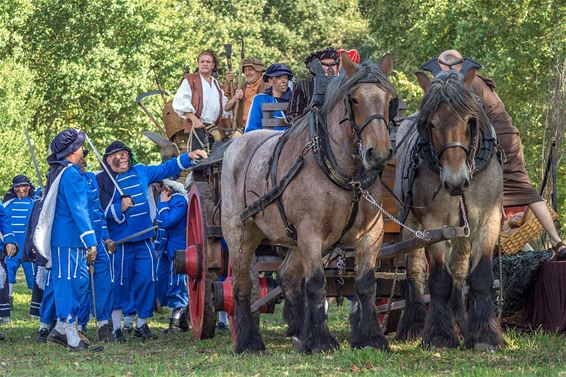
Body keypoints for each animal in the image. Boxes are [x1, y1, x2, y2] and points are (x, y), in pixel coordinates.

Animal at [223, 53, 400, 352]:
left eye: (389, 100)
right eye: (354, 99)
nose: (377, 154)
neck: (345, 175)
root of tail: (236, 143)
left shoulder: (371, 233)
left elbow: (366, 283)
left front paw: (372, 337)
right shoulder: (311, 232)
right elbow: (316, 282)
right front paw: (321, 341)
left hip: (291, 240)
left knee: (287, 277)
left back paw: (299, 331)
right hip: (241, 234)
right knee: (242, 285)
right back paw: (249, 341)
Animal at [394, 62, 506, 350]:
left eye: (469, 121)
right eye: (431, 124)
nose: (455, 181)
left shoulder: (488, 220)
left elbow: (479, 276)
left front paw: (484, 334)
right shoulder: (434, 225)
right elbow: (438, 281)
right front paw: (439, 335)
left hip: (463, 231)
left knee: (458, 269)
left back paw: (460, 321)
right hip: (411, 225)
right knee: (415, 270)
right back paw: (413, 325)